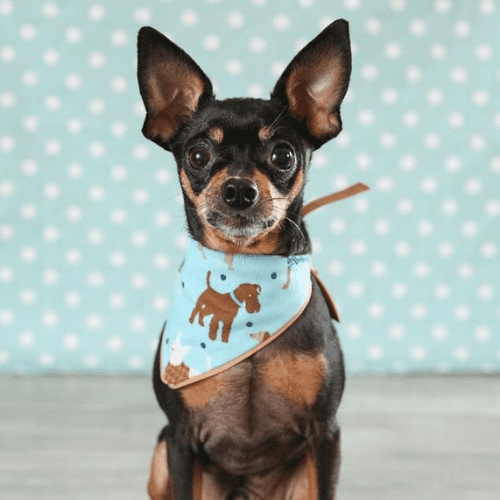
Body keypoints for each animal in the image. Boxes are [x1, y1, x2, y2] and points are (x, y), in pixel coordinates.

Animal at [138, 17, 352, 498]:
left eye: (283, 155)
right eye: (198, 155)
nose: (238, 188)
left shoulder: (325, 433)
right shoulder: (179, 437)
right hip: (158, 456)